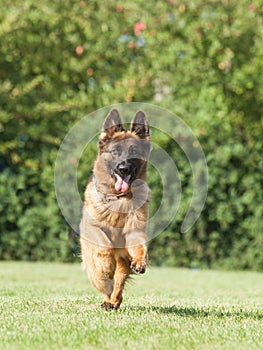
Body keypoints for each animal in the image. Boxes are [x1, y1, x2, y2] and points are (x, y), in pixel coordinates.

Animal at [79, 108, 152, 308]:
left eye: (133, 151)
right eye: (115, 151)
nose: (123, 168)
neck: (119, 199)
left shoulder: (134, 232)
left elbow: (141, 247)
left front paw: (141, 261)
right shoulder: (91, 228)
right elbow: (103, 244)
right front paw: (106, 266)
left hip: (123, 261)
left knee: (118, 283)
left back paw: (113, 301)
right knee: (101, 279)